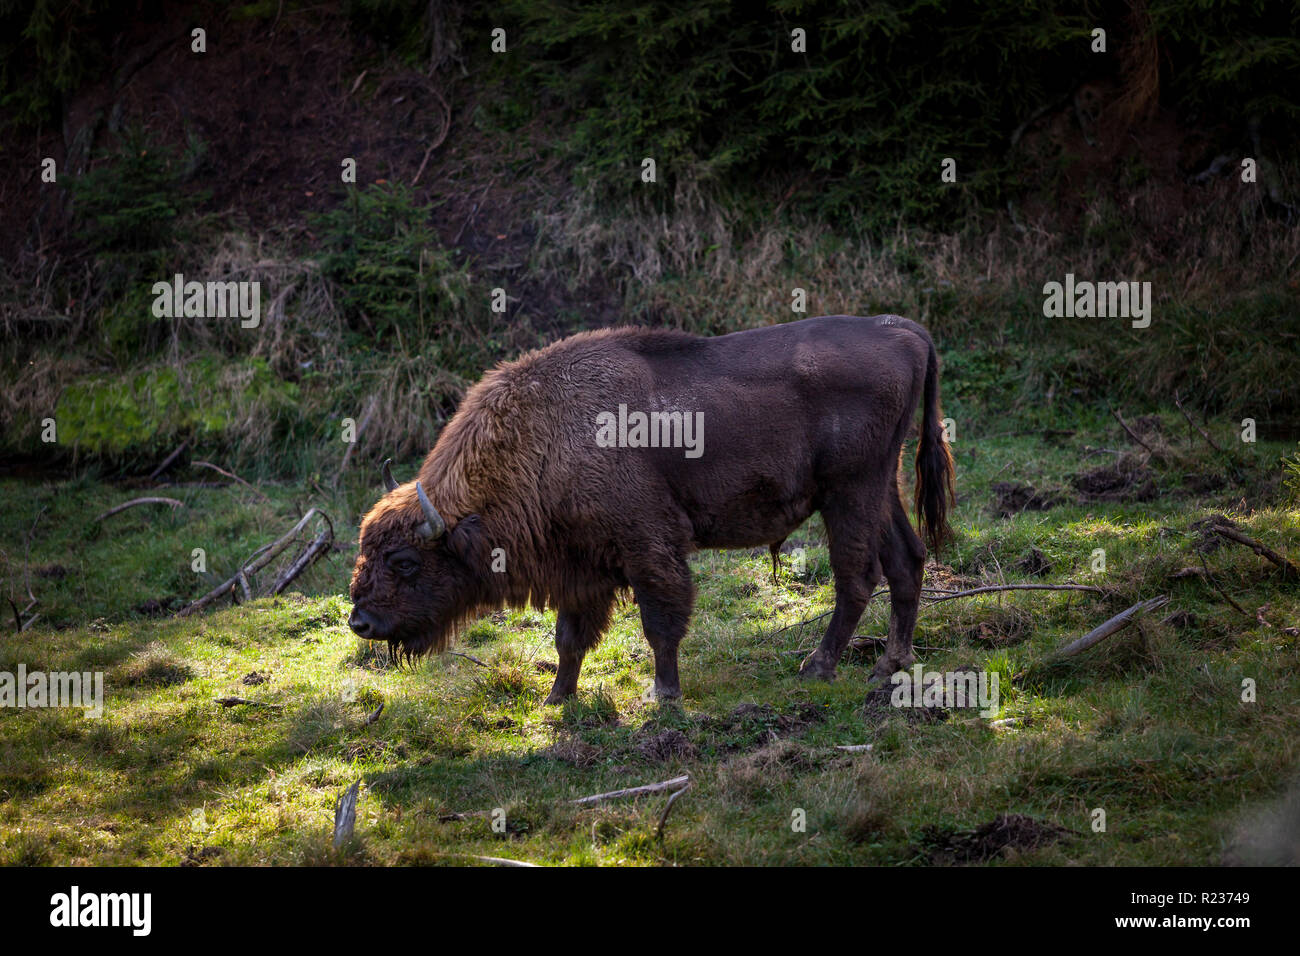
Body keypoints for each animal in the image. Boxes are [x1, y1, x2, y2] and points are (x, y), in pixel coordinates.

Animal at [348, 314, 956, 702]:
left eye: (404, 561)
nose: (361, 621)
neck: (547, 435)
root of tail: (902, 330)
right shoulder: (580, 570)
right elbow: (570, 638)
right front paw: (557, 700)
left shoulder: (648, 549)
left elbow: (660, 622)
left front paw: (664, 695)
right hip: (881, 487)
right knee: (907, 560)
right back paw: (890, 665)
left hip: (849, 492)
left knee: (857, 576)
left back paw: (817, 668)